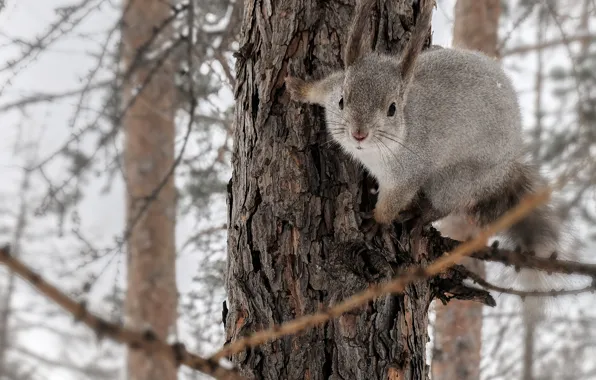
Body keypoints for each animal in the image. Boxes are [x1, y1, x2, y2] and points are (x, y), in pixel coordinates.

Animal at [286, 0, 576, 320]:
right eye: (342, 101)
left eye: (392, 109)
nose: (358, 133)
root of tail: (505, 169)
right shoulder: (333, 86)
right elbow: (320, 88)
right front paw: (298, 87)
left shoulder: (406, 174)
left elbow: (393, 202)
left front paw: (377, 222)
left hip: (455, 181)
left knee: (444, 205)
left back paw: (419, 215)